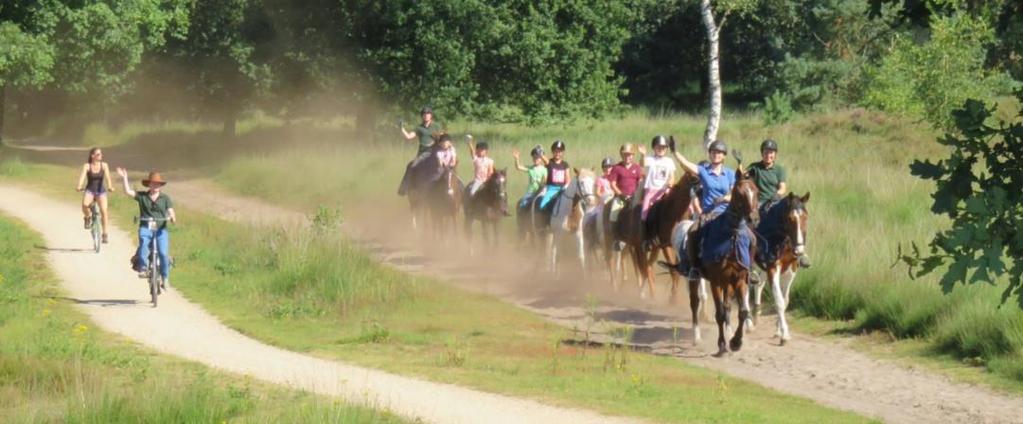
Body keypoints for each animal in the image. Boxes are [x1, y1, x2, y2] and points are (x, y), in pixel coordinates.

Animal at [687, 172, 761, 354]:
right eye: (739, 193)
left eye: (756, 192)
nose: (754, 219)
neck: (731, 236)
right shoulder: (716, 282)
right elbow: (719, 313)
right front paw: (721, 344)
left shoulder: (739, 280)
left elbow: (743, 312)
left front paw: (736, 341)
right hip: (696, 277)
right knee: (694, 302)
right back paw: (696, 336)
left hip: (729, 283)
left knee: (727, 306)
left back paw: (728, 332)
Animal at [748, 192, 810, 344]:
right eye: (790, 218)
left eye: (805, 217)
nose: (799, 251)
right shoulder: (773, 268)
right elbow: (779, 301)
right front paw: (784, 334)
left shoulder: (791, 269)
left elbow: (785, 300)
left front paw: (778, 330)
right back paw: (748, 324)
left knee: (758, 285)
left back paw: (756, 314)